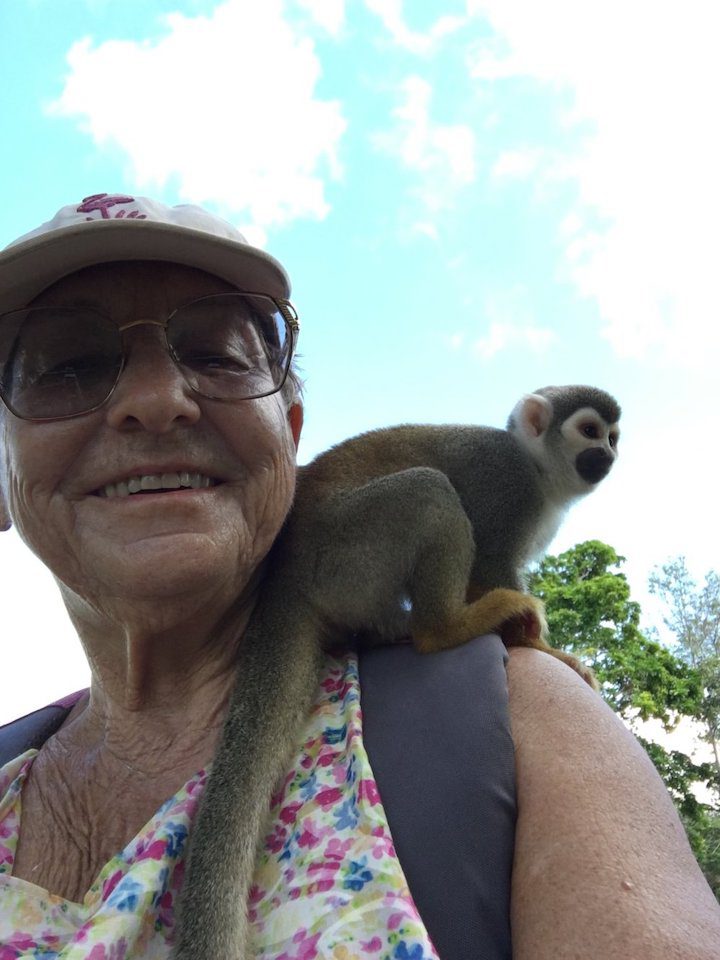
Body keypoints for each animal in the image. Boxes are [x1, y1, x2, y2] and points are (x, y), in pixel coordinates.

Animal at [173, 382, 620, 960]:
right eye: (589, 432)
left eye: (612, 437)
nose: (607, 455)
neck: (539, 470)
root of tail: (284, 577)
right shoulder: (506, 484)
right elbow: (489, 563)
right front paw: (545, 647)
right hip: (343, 554)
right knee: (429, 491)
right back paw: (443, 627)